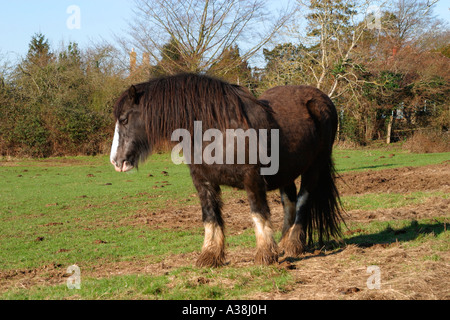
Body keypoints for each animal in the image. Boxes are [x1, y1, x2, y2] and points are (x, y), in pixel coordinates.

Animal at [110, 73, 342, 268]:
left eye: (124, 119)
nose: (116, 161)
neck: (217, 132)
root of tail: (322, 98)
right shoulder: (203, 182)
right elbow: (210, 217)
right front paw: (210, 256)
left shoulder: (252, 179)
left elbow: (258, 213)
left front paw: (265, 255)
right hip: (287, 171)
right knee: (289, 202)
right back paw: (284, 244)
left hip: (315, 166)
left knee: (303, 199)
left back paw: (294, 244)